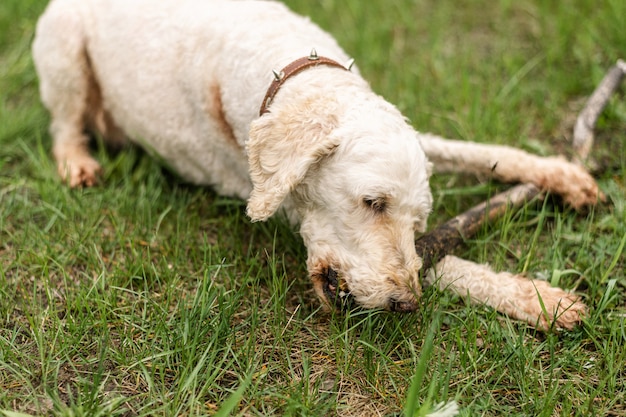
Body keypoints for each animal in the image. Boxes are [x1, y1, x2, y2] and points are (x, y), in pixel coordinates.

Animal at [31, 0, 596, 328]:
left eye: (418, 222)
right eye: (373, 202)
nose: (406, 304)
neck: (298, 76)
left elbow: (474, 153)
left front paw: (562, 175)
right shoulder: (266, 193)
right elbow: (442, 262)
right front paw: (538, 298)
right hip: (62, 49)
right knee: (62, 125)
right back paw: (77, 162)